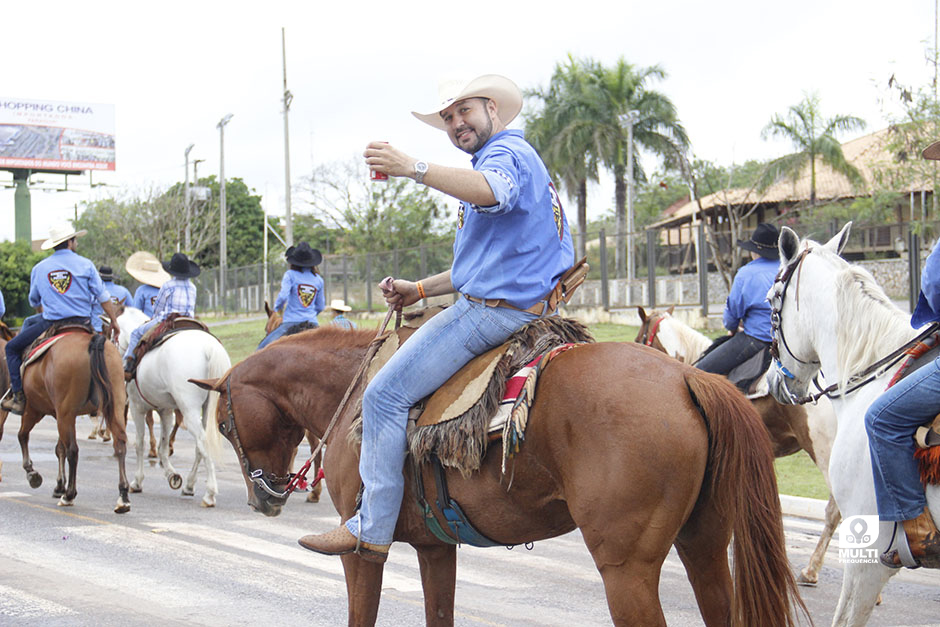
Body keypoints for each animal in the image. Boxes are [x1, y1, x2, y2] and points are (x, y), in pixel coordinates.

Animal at [2, 332, 130, 512]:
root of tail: (93, 341)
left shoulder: (34, 410)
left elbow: (23, 436)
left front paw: (32, 473)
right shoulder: (59, 415)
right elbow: (59, 448)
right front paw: (58, 486)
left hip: (65, 414)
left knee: (73, 451)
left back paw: (69, 495)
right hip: (114, 405)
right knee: (119, 444)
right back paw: (123, 497)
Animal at [116, 306, 229, 508]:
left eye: (114, 332)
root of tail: (209, 347)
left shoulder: (137, 408)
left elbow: (140, 443)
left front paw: (137, 481)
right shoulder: (165, 410)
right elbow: (163, 444)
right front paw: (172, 475)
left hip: (189, 410)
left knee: (202, 441)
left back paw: (210, 493)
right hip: (208, 409)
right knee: (200, 445)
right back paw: (190, 485)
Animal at [193, 326, 808, 624]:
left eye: (223, 423)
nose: (264, 498)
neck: (356, 390)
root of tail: (686, 378)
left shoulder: (362, 549)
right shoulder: (435, 549)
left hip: (626, 570)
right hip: (703, 546)